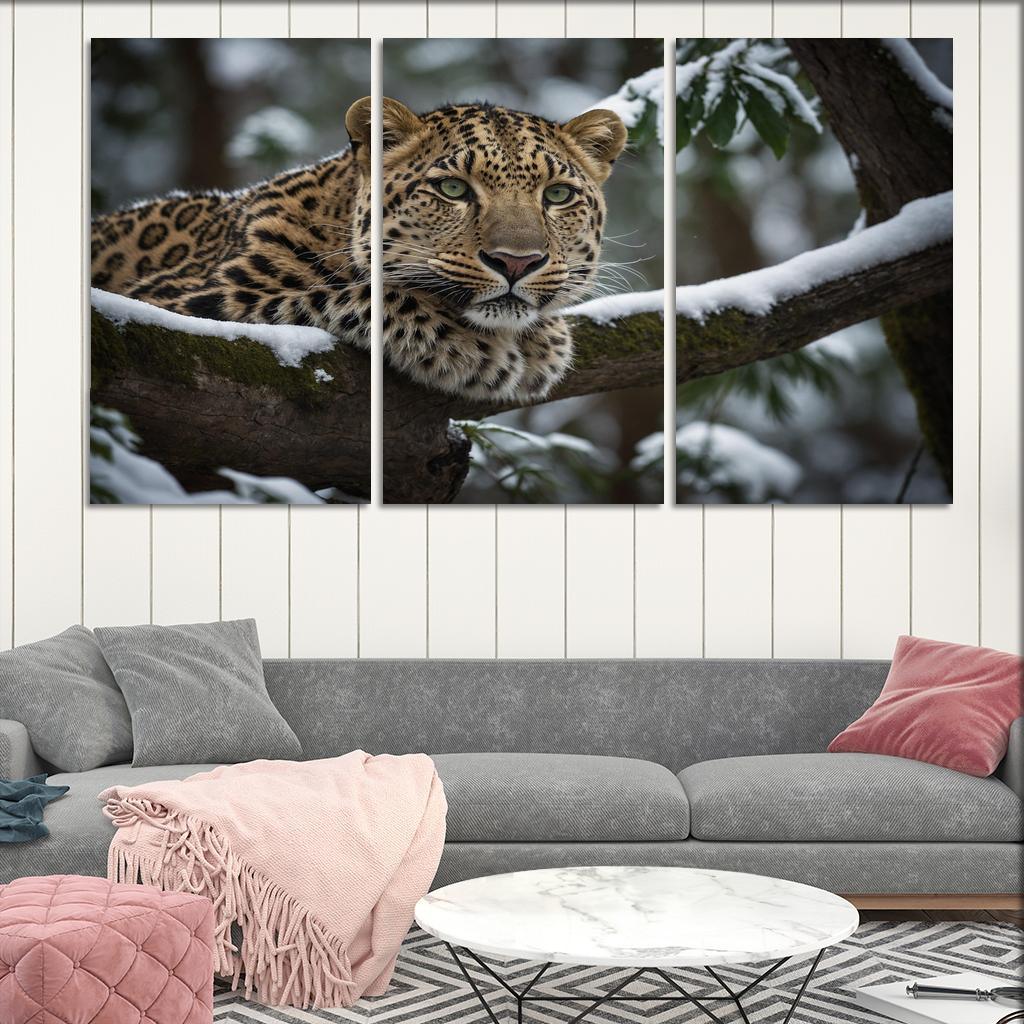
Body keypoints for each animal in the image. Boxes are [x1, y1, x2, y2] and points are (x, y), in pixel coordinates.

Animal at [90, 97, 626, 403]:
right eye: (453, 189)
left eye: (557, 195)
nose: (517, 261)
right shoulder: (178, 303)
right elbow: (353, 292)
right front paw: (474, 347)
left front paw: (544, 338)